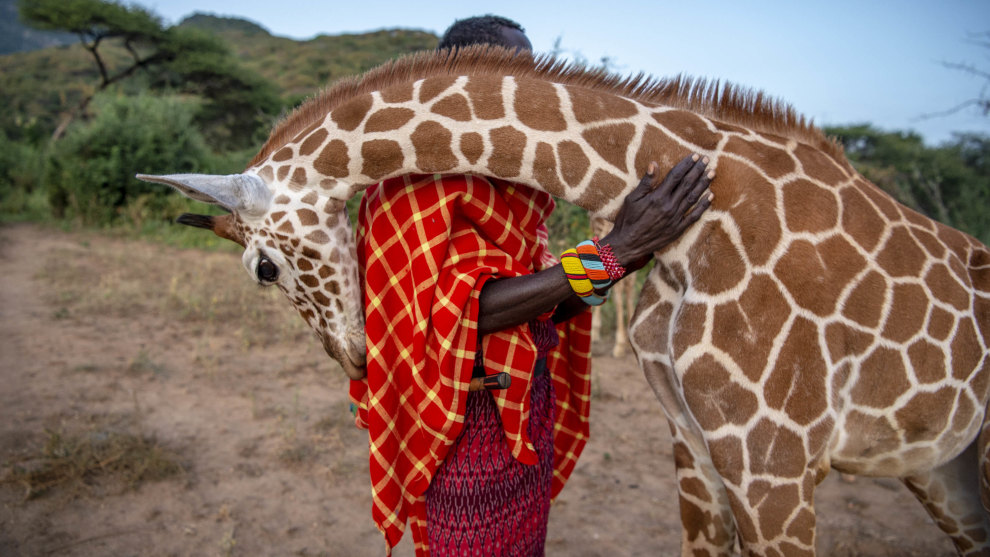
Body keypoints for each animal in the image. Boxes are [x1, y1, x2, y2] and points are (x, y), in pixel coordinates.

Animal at [137, 46, 990, 555]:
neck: (708, 213)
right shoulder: (699, 446)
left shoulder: (777, 460)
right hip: (945, 465)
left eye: (262, 268)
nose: (353, 356)